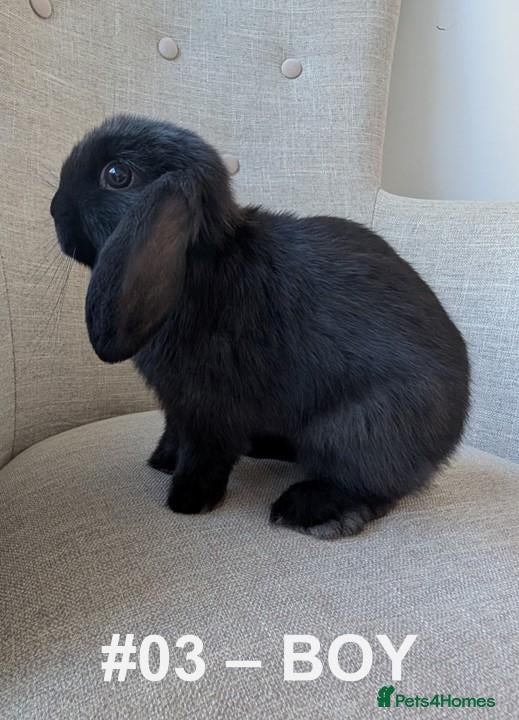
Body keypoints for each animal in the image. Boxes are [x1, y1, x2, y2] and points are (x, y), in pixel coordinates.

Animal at [51, 115, 470, 539]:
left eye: (117, 175)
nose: (54, 209)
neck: (198, 261)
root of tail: (447, 442)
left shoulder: (210, 406)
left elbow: (205, 454)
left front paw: (187, 500)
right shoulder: (176, 404)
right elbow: (173, 431)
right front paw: (161, 462)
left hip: (354, 430)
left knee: (374, 487)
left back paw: (308, 511)